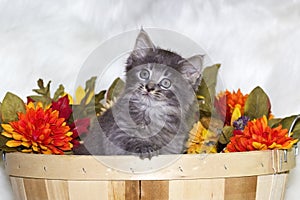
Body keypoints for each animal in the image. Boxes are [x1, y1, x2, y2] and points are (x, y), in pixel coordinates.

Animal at [73, 28, 203, 159]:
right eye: (144, 74)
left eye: (166, 83)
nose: (149, 88)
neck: (151, 114)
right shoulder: (115, 134)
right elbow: (129, 139)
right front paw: (145, 147)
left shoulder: (174, 145)